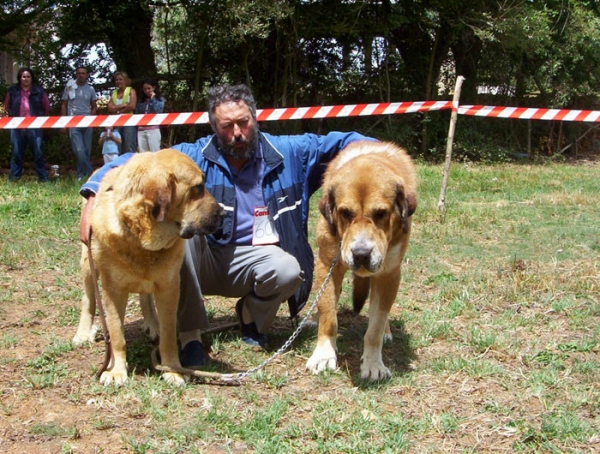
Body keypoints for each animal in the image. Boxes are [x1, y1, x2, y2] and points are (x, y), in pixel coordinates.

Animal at [72, 149, 223, 386]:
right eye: (198, 187)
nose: (223, 213)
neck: (142, 241)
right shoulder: (112, 290)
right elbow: (116, 334)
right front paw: (116, 370)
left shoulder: (169, 287)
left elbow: (169, 336)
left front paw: (172, 370)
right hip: (88, 265)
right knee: (88, 298)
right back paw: (83, 332)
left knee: (146, 298)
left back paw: (153, 323)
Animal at [308, 139, 414, 380]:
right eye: (345, 212)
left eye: (381, 213)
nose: (361, 254)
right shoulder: (327, 265)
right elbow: (328, 315)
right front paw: (324, 355)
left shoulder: (389, 274)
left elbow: (375, 325)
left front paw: (374, 364)